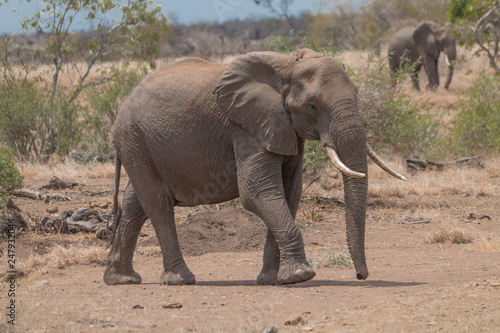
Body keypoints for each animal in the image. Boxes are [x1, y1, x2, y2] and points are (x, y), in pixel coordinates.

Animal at [102, 46, 406, 286]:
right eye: (312, 106)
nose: (361, 276)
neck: (286, 66)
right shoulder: (247, 127)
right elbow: (257, 192)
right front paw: (301, 275)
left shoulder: (285, 129)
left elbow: (289, 193)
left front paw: (275, 280)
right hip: (135, 139)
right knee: (158, 204)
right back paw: (180, 280)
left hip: (142, 146)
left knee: (135, 204)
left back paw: (122, 279)